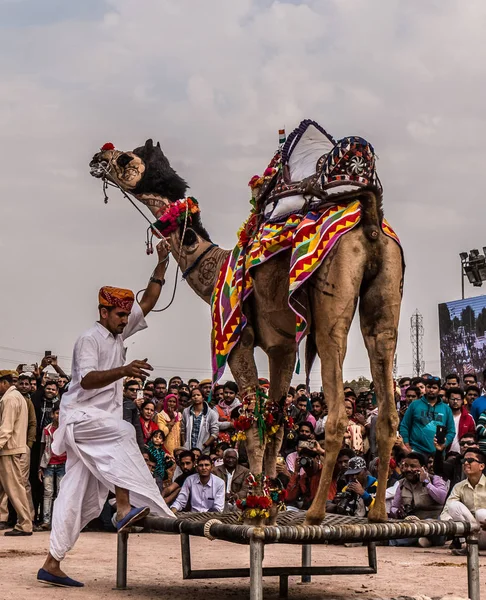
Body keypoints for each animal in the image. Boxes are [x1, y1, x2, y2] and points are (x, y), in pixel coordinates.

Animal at [89, 122, 404, 524]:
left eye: (126, 158)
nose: (98, 156)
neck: (213, 267)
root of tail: (369, 217)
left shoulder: (236, 337)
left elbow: (252, 414)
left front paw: (254, 504)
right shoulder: (282, 347)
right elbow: (277, 417)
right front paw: (271, 501)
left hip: (331, 305)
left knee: (335, 406)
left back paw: (315, 512)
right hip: (386, 298)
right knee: (388, 397)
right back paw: (378, 513)